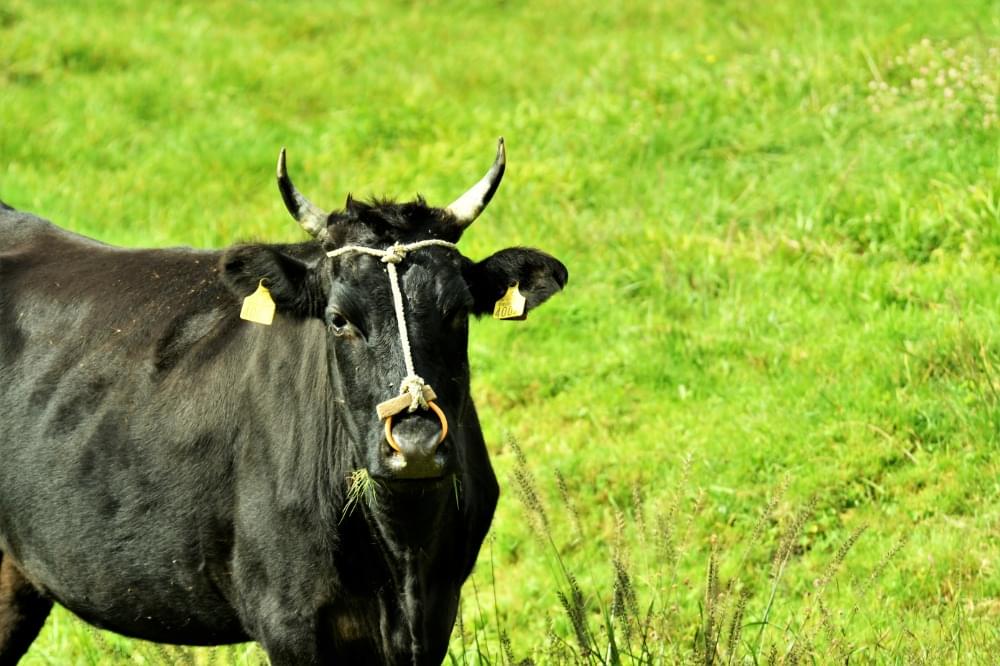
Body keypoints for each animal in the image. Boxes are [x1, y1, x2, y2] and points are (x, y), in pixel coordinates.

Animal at [0, 137, 568, 660]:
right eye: (338, 319)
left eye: (456, 312)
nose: (416, 445)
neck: (401, 552)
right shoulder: (289, 617)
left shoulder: (436, 610)